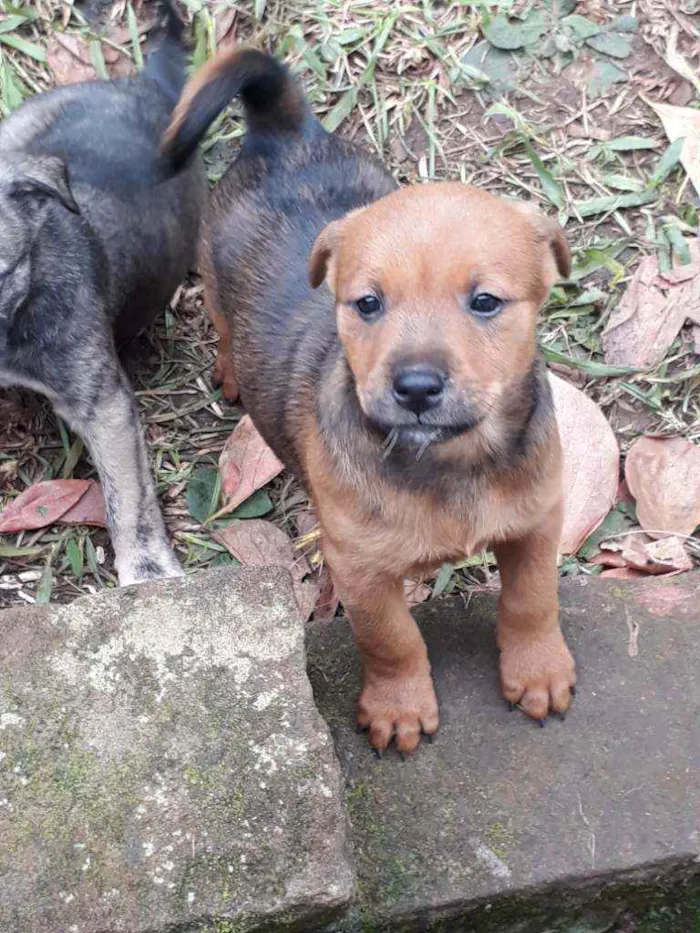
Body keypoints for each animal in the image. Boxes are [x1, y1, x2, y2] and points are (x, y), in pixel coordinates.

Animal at [164, 49, 576, 748]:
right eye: (367, 304)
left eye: (485, 302)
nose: (415, 387)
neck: (452, 463)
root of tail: (286, 133)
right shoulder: (359, 568)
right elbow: (392, 639)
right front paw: (398, 707)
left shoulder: (536, 521)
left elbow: (532, 599)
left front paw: (538, 670)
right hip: (214, 270)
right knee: (221, 321)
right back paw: (229, 370)